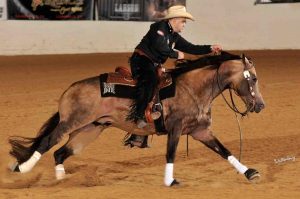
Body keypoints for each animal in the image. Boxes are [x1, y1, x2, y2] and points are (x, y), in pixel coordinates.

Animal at [8, 51, 264, 187]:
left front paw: (250, 172)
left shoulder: (201, 131)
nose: (260, 105)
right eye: (253, 78)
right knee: (47, 142)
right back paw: (23, 168)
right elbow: (170, 154)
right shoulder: (175, 129)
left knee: (61, 152)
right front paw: (170, 181)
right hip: (71, 122)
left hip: (90, 129)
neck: (192, 88)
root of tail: (71, 89)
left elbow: (224, 150)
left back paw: (61, 178)